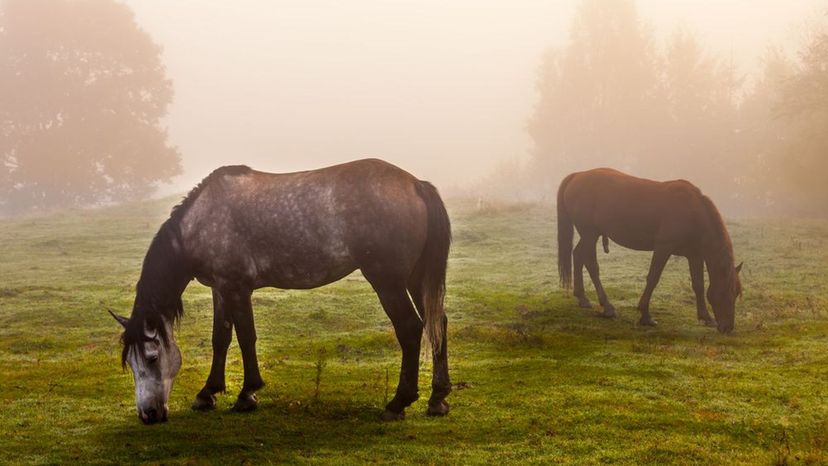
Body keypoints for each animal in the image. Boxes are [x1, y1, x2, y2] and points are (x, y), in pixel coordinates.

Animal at [111, 159, 452, 422]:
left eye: (152, 357)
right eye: (131, 363)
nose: (148, 414)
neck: (200, 222)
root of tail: (415, 184)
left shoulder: (237, 288)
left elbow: (246, 337)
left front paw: (247, 394)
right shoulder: (221, 289)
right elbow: (221, 339)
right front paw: (208, 393)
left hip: (387, 280)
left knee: (410, 328)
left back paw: (399, 402)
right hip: (415, 279)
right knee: (437, 324)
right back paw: (438, 398)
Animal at [556, 169, 744, 334]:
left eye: (736, 293)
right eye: (725, 292)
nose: (728, 327)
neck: (693, 212)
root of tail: (577, 176)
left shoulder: (694, 255)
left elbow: (698, 284)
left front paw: (706, 317)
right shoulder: (663, 248)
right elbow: (653, 279)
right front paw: (645, 315)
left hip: (590, 235)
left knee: (579, 256)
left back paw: (583, 298)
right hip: (590, 233)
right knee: (589, 263)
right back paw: (607, 307)